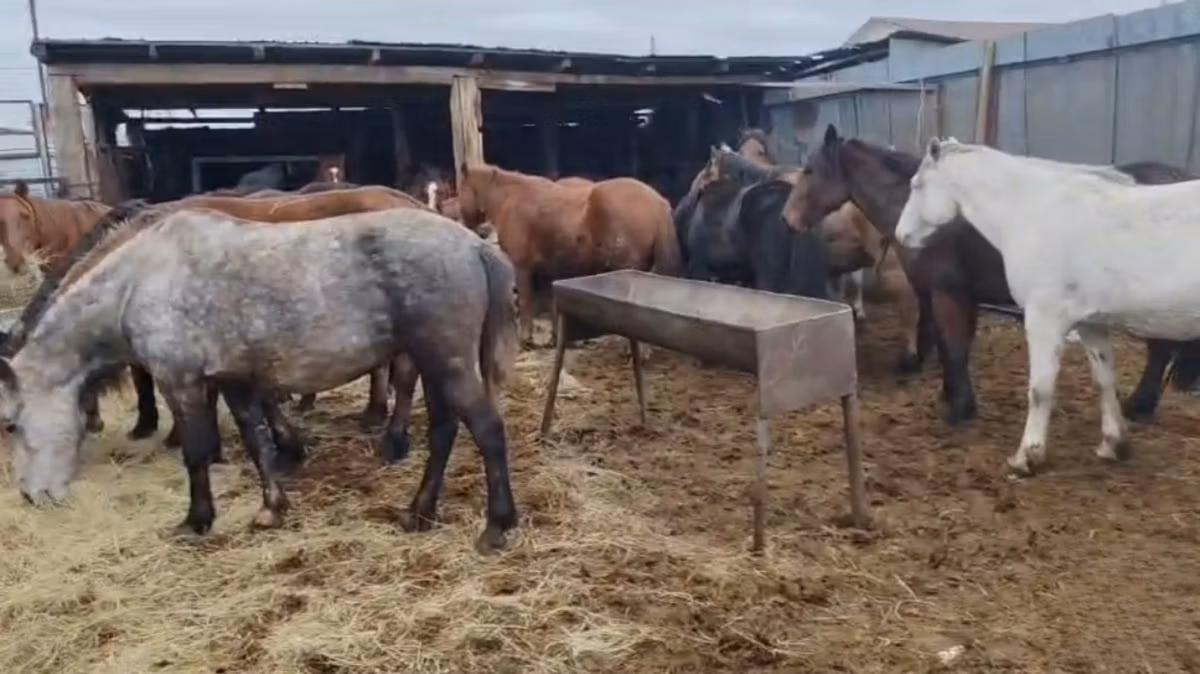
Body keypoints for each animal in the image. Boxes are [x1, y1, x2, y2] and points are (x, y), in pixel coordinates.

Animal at [456, 162, 682, 346]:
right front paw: (555, 338)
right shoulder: (547, 272)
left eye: (459, 190)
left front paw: (525, 339)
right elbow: (552, 305)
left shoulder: (522, 267)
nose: (472, 227)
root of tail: (657, 202)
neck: (511, 198)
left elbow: (527, 302)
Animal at [798, 124, 1200, 425]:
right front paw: (948, 395)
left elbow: (953, 346)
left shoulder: (948, 291)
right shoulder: (945, 293)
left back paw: (1139, 405)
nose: (791, 218)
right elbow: (947, 344)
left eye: (810, 170)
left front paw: (959, 408)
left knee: (1160, 349)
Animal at [892, 136, 1200, 475]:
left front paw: (1027, 457)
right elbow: (1104, 381)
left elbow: (1040, 390)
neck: (1033, 213)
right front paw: (1113, 444)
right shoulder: (1091, 324)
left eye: (917, 185)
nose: (901, 235)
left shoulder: (1043, 320)